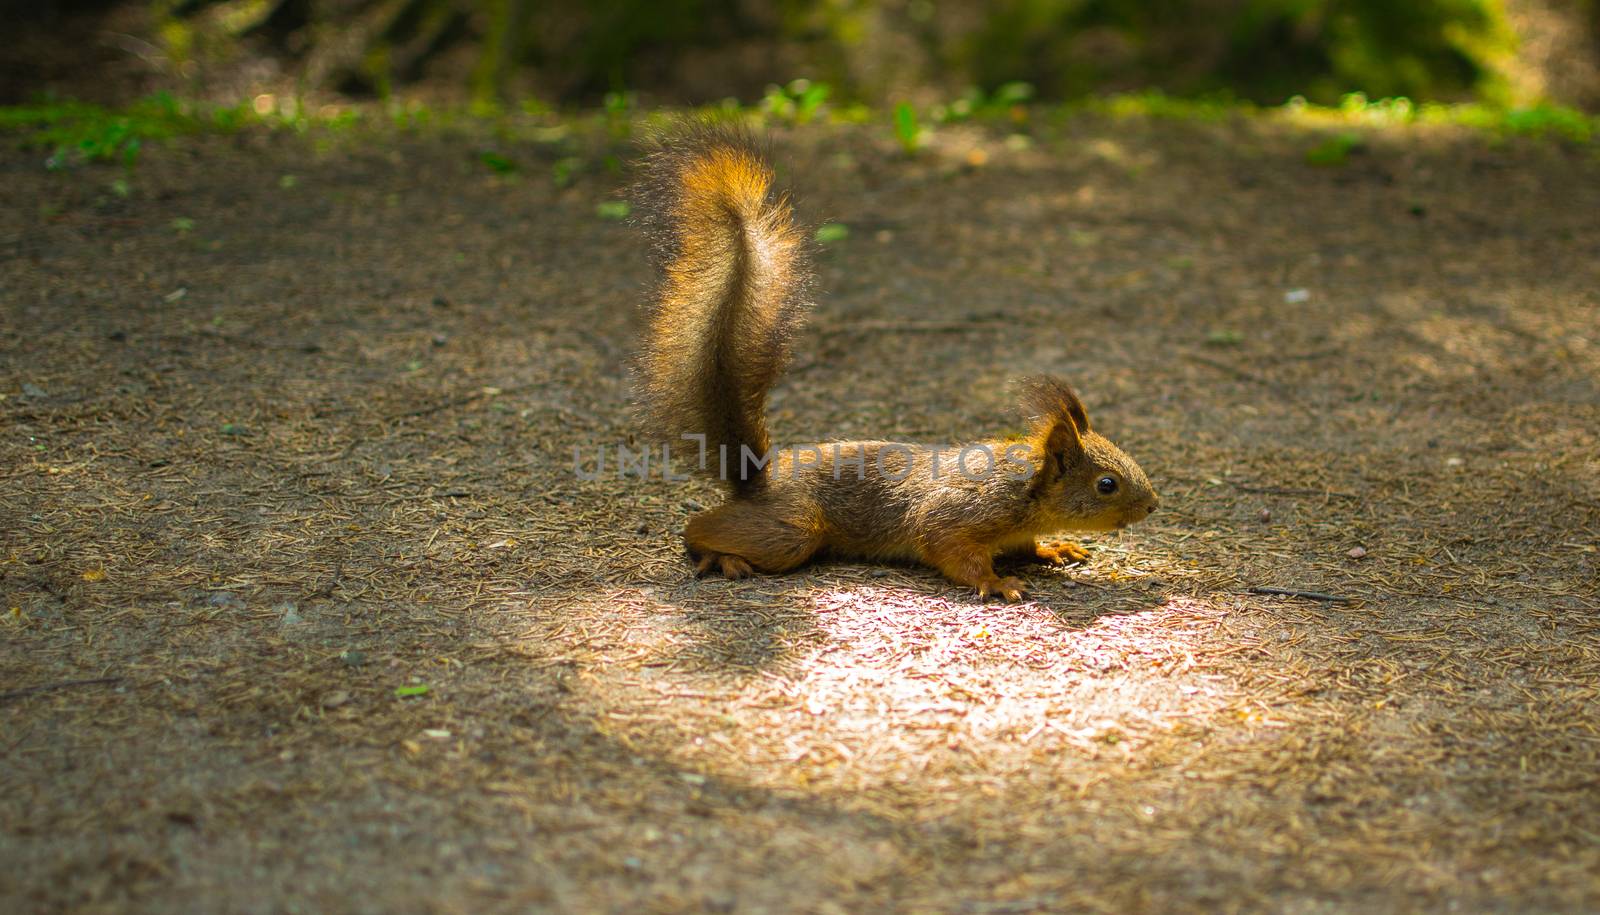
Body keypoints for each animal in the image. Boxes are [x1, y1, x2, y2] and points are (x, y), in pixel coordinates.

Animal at [630, 127, 1158, 601]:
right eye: (1107, 485)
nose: (1153, 506)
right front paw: (997, 582)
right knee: (699, 528)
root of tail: (757, 478)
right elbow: (948, 547)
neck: (1027, 487)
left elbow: (1028, 547)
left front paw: (1055, 549)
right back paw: (721, 557)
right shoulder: (962, 514)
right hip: (790, 530)